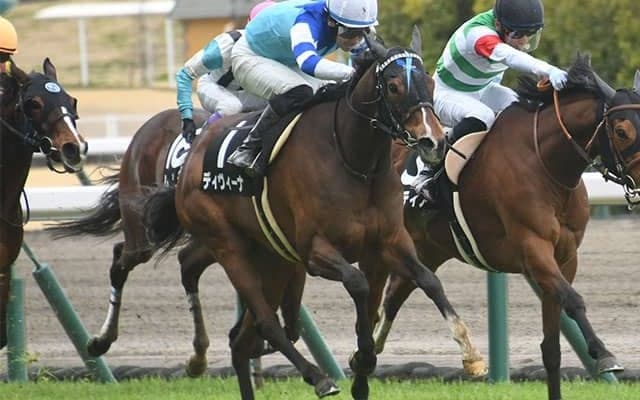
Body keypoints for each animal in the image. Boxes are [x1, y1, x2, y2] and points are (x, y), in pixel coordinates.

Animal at [142, 29, 481, 400]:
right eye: (393, 86)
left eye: (431, 84)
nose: (433, 142)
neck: (354, 160)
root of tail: (191, 158)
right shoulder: (315, 251)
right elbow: (359, 284)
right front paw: (362, 358)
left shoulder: (390, 241)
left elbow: (428, 280)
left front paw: (470, 354)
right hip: (229, 246)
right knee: (265, 321)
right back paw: (318, 377)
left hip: (273, 258)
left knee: (241, 340)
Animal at [375, 55, 639, 400]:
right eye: (621, 131)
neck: (545, 163)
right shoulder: (533, 250)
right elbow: (574, 300)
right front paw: (604, 354)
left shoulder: (565, 257)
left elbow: (552, 347)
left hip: (426, 249)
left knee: (397, 293)